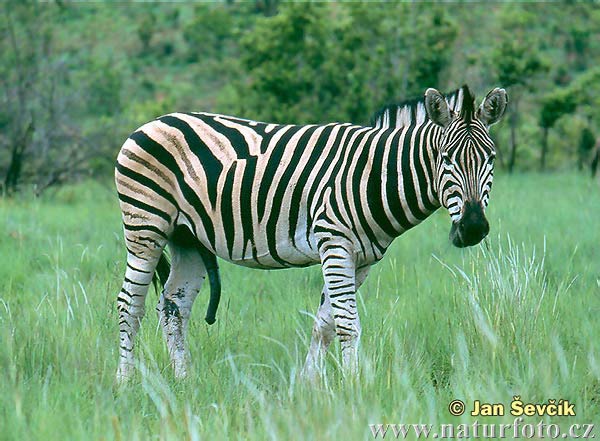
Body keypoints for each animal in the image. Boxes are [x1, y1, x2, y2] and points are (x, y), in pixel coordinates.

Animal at [113, 84, 506, 380]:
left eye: (490, 159)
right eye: (446, 159)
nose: (473, 228)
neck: (375, 175)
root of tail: (155, 121)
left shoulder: (362, 258)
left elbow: (326, 324)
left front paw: (310, 386)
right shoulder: (335, 242)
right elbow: (347, 324)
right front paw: (355, 386)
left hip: (187, 237)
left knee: (174, 305)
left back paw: (185, 382)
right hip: (146, 225)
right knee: (130, 304)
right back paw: (125, 382)